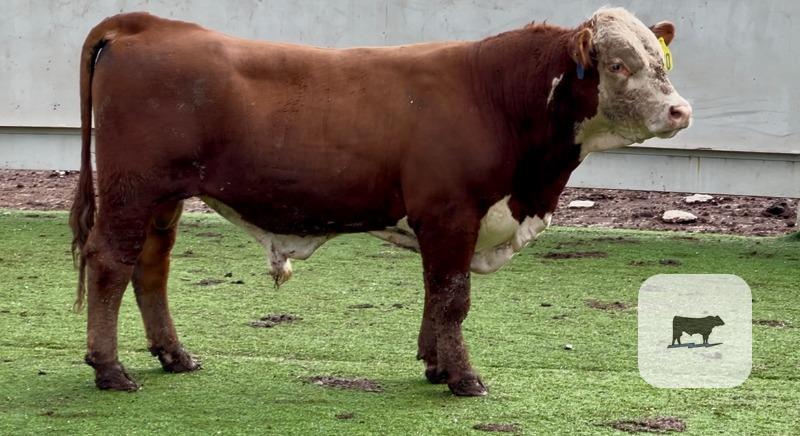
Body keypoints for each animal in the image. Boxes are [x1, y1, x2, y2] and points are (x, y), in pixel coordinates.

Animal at [70, 7, 692, 396]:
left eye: (659, 60)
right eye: (618, 64)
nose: (680, 110)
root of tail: (148, 24)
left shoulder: (442, 221)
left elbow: (436, 293)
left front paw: (436, 365)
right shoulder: (450, 212)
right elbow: (453, 297)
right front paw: (464, 378)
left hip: (163, 199)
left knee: (151, 269)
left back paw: (174, 356)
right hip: (131, 189)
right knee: (110, 264)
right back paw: (110, 369)